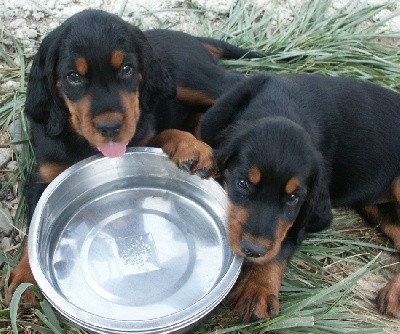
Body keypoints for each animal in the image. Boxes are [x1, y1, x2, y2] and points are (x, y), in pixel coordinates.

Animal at [2, 8, 262, 306]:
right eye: (73, 77)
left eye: (126, 69)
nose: (110, 127)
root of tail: (189, 36)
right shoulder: (43, 178)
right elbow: (33, 227)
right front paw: (25, 279)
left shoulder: (141, 133)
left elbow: (161, 132)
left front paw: (190, 148)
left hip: (191, 79)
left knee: (240, 83)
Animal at [200, 72, 400, 320]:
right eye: (242, 183)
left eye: (294, 198)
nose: (254, 251)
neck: (282, 103)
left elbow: (283, 241)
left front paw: (257, 289)